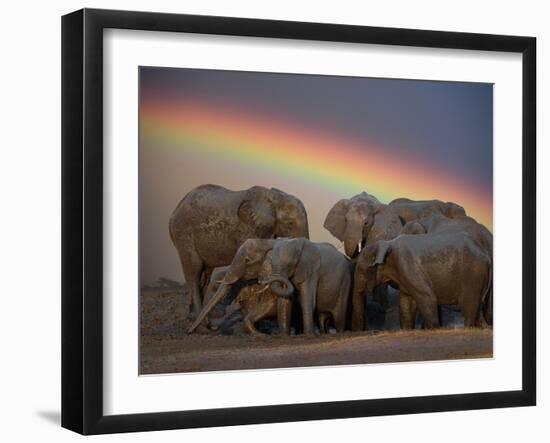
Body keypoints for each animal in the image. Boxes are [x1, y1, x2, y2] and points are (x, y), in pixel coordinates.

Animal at [170, 186, 310, 318]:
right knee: (194, 270)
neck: (274, 197)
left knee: (206, 272)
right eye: (290, 223)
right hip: (183, 234)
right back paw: (198, 317)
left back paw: (206, 315)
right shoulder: (246, 228)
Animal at [356, 232, 494, 330]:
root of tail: (486, 256)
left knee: (468, 307)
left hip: (472, 276)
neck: (386, 243)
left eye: (362, 270)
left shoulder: (407, 265)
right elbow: (407, 303)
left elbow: (428, 298)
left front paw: (435, 329)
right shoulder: (403, 275)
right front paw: (407, 330)